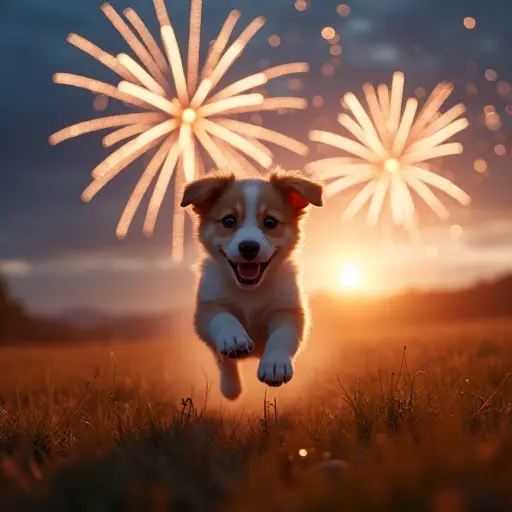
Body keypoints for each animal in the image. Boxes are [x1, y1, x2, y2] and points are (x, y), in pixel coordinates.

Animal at [181, 168, 324, 400]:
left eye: (270, 222)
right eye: (229, 220)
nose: (248, 247)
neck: (250, 292)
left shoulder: (289, 311)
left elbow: (282, 335)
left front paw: (275, 365)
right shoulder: (207, 309)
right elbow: (223, 318)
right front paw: (234, 337)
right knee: (223, 361)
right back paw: (231, 387)